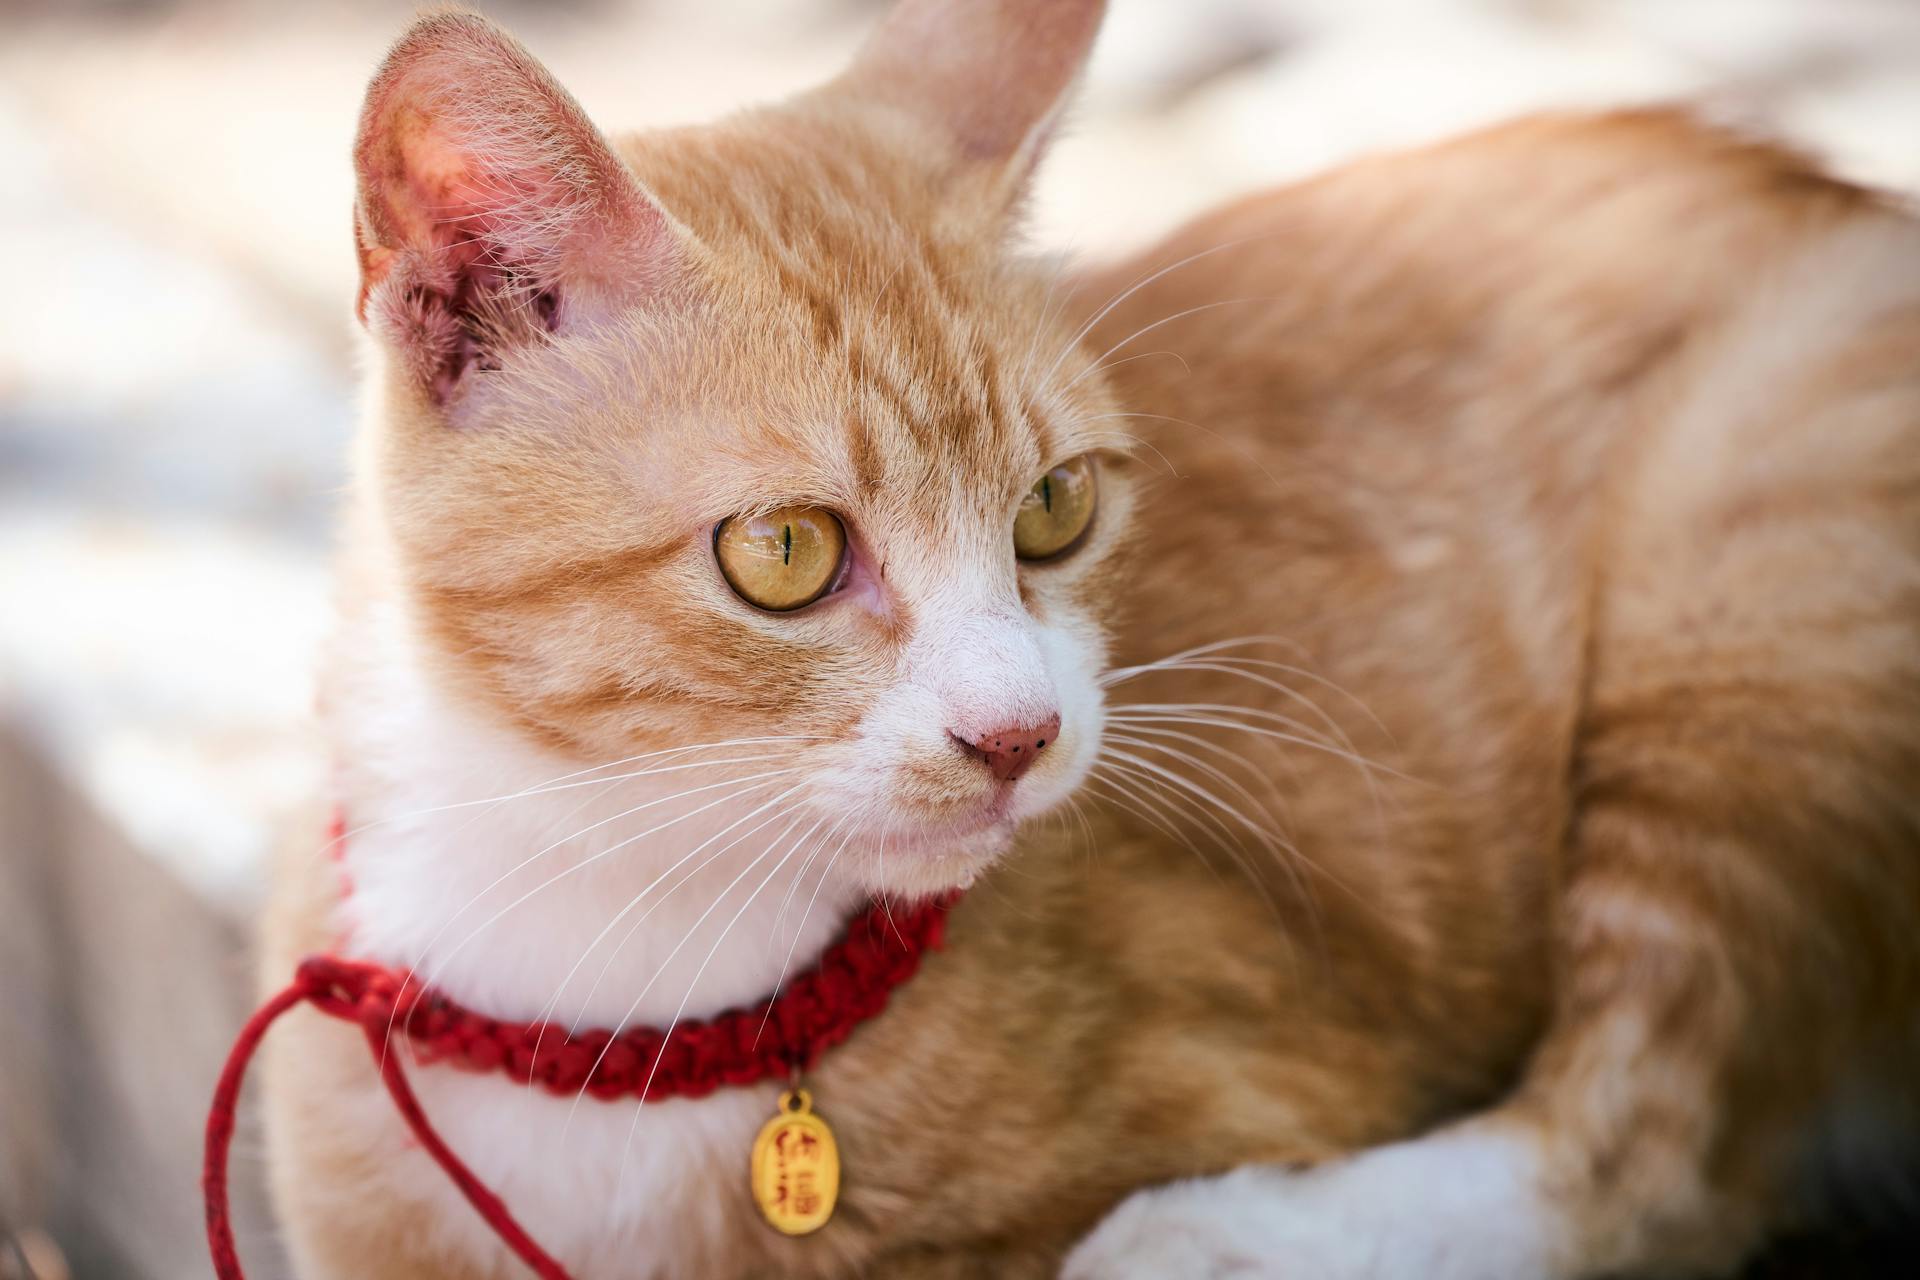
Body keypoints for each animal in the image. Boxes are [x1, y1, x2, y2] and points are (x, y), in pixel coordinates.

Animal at [259, 2, 1920, 1280]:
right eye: (785, 553)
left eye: (1054, 509)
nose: (1019, 736)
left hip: (1758, 527)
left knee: (1656, 1158)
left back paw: (1218, 1242)